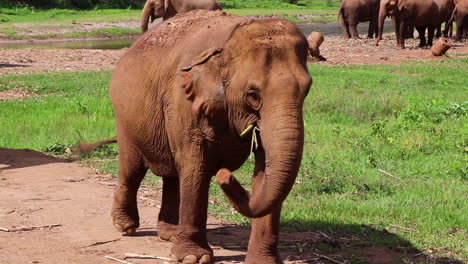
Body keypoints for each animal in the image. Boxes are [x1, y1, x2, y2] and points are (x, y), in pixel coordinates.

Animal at [97, 9, 310, 264]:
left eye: (307, 89)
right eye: (252, 94)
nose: (225, 175)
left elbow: (264, 168)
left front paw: (264, 262)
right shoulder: (182, 100)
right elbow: (195, 165)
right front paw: (193, 257)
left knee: (173, 174)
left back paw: (170, 233)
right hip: (125, 117)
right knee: (133, 168)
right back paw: (126, 226)